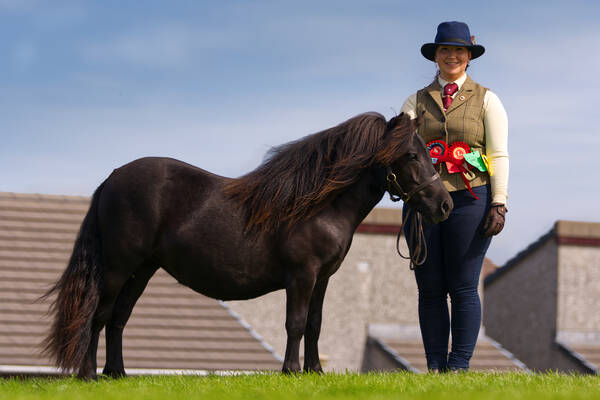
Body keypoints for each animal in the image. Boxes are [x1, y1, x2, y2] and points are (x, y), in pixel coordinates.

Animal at [44, 111, 452, 378]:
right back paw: (89, 375)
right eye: (411, 155)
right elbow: (295, 323)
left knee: (118, 318)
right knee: (98, 314)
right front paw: (290, 371)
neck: (316, 205)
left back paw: (117, 373)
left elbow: (315, 323)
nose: (444, 205)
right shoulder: (301, 276)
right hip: (118, 266)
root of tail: (112, 178)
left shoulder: (322, 278)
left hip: (142, 269)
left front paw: (315, 371)